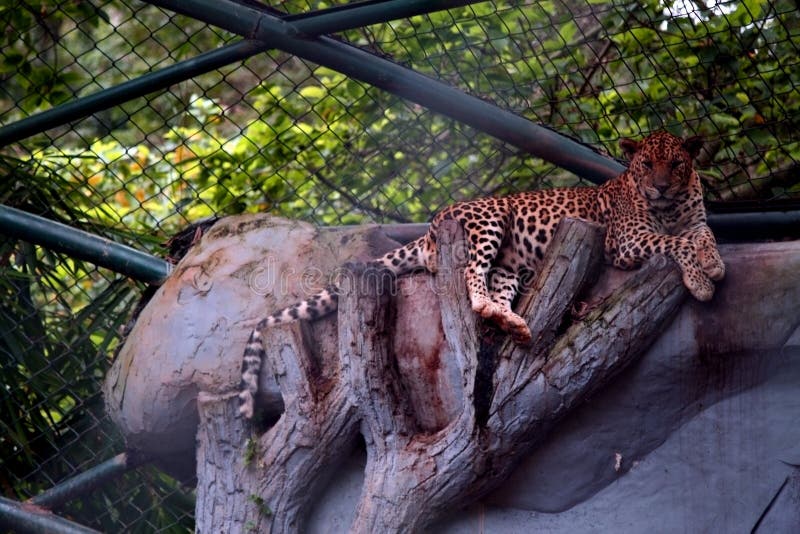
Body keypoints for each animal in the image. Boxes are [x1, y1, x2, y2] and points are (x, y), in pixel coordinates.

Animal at [238, 132, 724, 420]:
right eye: (646, 165)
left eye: (676, 164)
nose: (659, 186)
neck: (671, 207)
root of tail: (432, 223)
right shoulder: (626, 239)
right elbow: (675, 245)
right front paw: (702, 281)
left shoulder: (691, 220)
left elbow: (703, 234)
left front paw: (714, 263)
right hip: (488, 222)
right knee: (472, 278)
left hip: (510, 267)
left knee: (493, 293)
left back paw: (512, 322)